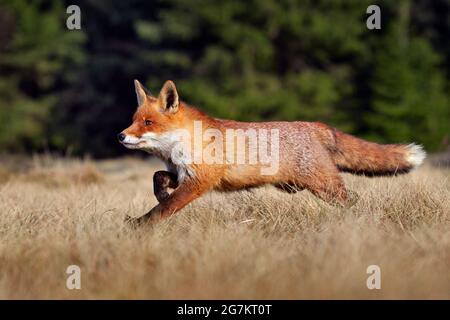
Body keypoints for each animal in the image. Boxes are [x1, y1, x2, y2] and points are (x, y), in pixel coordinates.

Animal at [118, 79, 426, 225]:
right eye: (134, 119)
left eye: (148, 123)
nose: (120, 136)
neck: (182, 145)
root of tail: (316, 125)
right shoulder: (182, 173)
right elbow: (158, 178)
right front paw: (159, 194)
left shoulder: (201, 180)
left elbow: (165, 209)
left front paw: (140, 225)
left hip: (327, 188)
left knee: (355, 202)